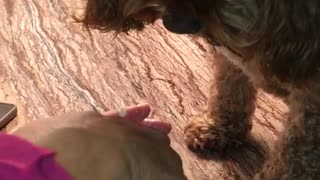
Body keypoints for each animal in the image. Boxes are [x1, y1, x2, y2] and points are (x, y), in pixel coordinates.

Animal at [70, 0, 320, 179]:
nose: (176, 23)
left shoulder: (311, 103)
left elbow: (295, 156)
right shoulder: (230, 56)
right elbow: (229, 87)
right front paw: (218, 127)